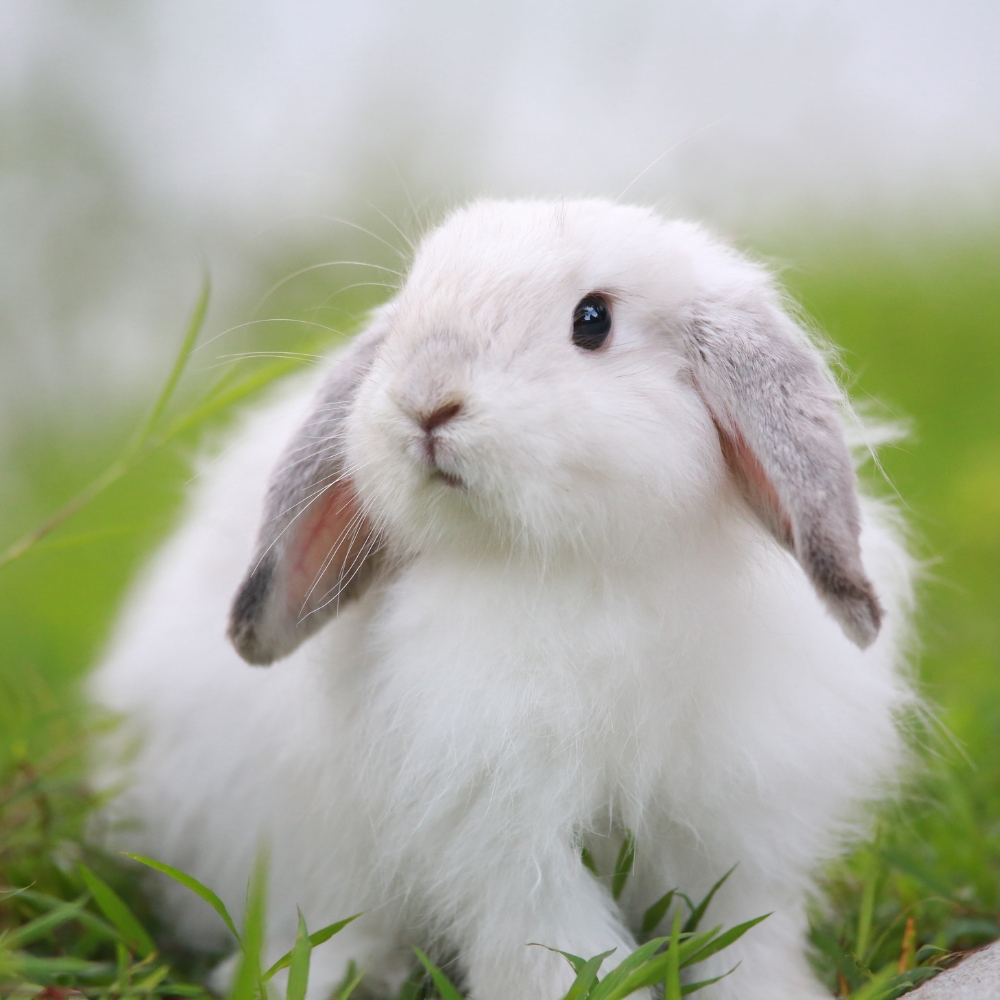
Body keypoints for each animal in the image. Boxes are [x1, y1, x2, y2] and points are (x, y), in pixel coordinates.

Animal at [90, 198, 917, 1000]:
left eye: (593, 320)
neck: (578, 565)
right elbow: (555, 948)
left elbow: (747, 938)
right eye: (411, 305)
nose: (425, 403)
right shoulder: (507, 840)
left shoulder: (739, 829)